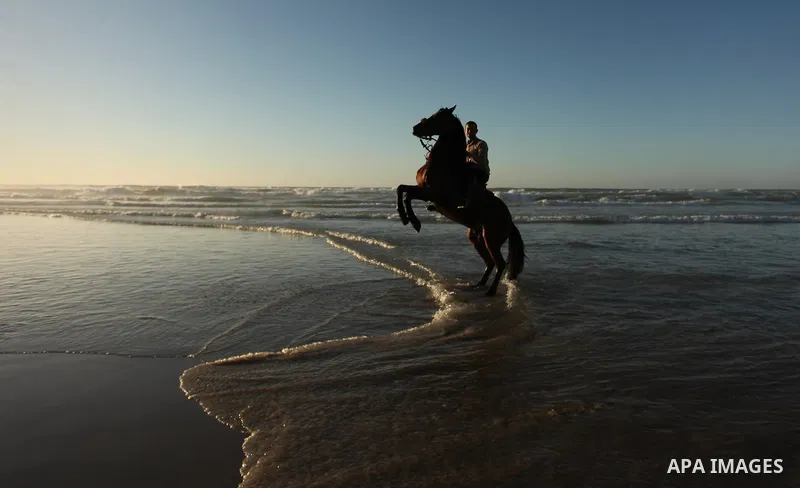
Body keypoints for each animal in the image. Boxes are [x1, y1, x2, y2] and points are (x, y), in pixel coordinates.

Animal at [395, 105, 525, 296]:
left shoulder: (432, 194)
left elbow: (407, 195)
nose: (415, 128)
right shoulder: (423, 190)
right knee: (490, 262)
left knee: (500, 263)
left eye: (437, 117)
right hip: (476, 237)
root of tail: (510, 222)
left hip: (491, 238)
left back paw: (491, 291)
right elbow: (401, 189)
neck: (444, 165)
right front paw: (405, 218)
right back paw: (479, 284)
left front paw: (413, 221)